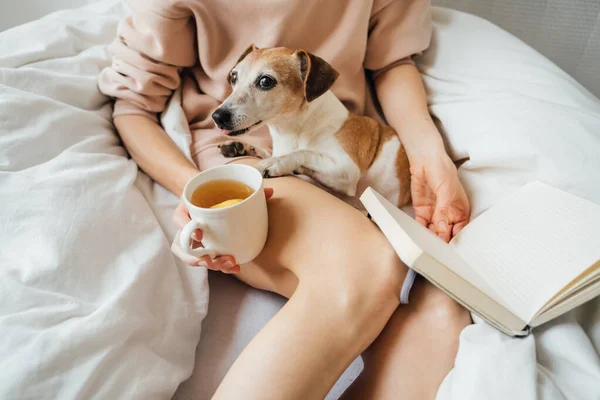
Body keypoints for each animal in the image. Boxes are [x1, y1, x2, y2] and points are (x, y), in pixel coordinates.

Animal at [211, 45, 412, 208]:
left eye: (265, 81)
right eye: (233, 77)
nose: (217, 116)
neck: (294, 130)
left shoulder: (347, 170)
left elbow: (303, 153)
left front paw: (277, 162)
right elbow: (268, 151)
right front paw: (241, 147)